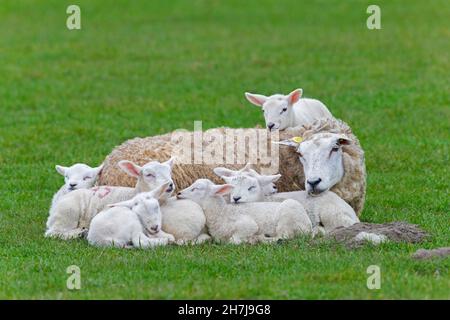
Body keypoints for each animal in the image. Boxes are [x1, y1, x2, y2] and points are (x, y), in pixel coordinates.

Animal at [43, 159, 174, 239]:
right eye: (149, 175)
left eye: (170, 172)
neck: (132, 193)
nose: (170, 184)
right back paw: (78, 232)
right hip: (68, 213)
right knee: (53, 232)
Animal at [177, 179, 312, 244]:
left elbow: (233, 241)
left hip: (288, 214)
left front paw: (250, 240)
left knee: (285, 236)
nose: (178, 193)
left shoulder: (248, 225)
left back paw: (264, 239)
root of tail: (308, 225)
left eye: (196, 188)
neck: (222, 213)